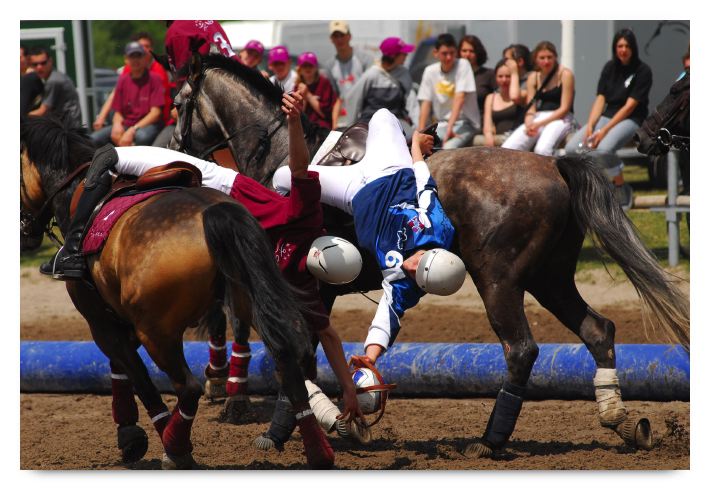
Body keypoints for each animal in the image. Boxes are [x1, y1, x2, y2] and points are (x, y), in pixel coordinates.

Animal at [20, 115, 335, 469]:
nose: (24, 234)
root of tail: (212, 213)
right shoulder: (117, 317)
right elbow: (120, 370)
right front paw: (129, 435)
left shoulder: (100, 321)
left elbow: (139, 380)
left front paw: (139, 436)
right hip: (250, 304)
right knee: (287, 363)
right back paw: (318, 452)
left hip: (157, 333)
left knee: (188, 387)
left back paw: (175, 448)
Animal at [170, 53, 689, 457]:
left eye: (177, 105)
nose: (175, 150)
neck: (278, 151)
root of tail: (555, 164)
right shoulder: (317, 288)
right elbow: (306, 351)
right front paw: (333, 418)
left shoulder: (297, 282)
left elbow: (291, 352)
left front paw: (292, 428)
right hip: (551, 277)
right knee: (597, 330)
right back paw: (621, 420)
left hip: (499, 279)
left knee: (521, 349)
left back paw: (491, 440)